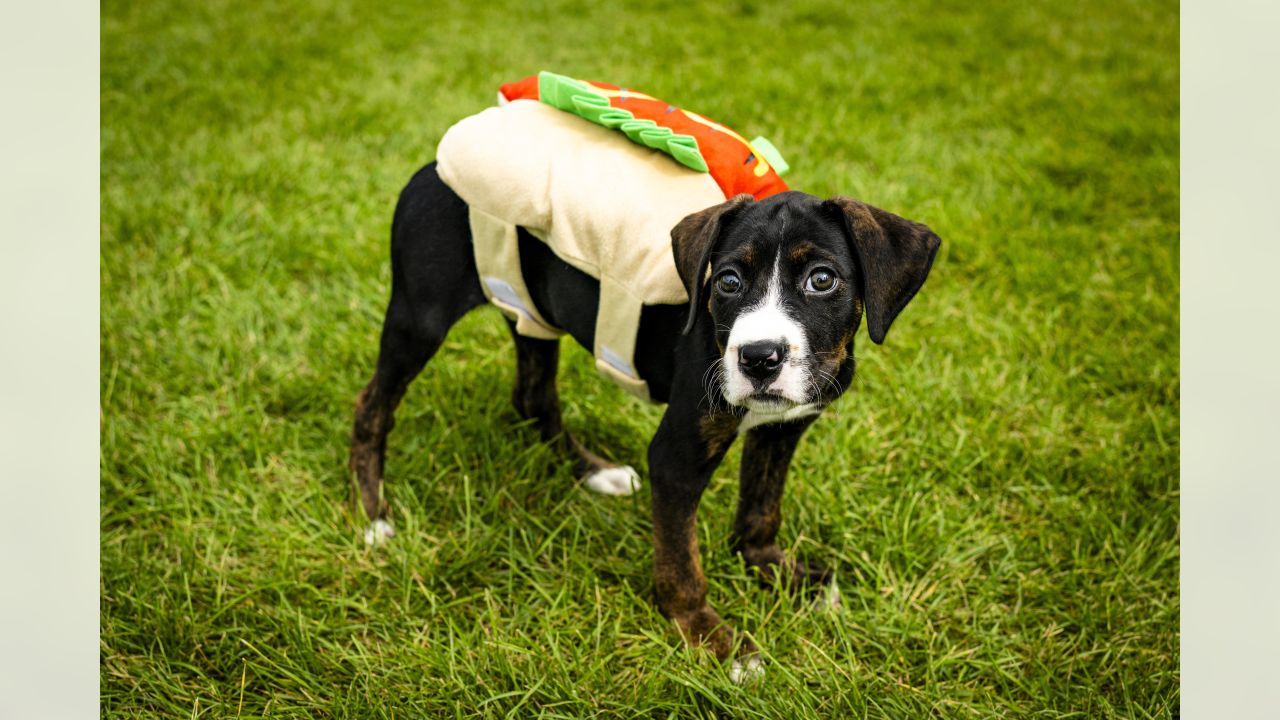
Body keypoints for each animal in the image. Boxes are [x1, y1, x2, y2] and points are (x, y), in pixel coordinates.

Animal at [350, 161, 942, 671]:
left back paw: (595, 472)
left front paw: (772, 568)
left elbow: (761, 505)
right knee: (371, 405)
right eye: (727, 282)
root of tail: (432, 168)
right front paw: (712, 639)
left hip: (531, 305)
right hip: (420, 315)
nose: (758, 357)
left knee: (533, 396)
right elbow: (682, 562)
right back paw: (375, 514)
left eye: (823, 280)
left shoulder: (785, 425)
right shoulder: (678, 455)